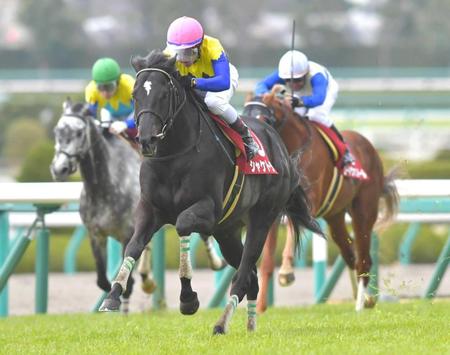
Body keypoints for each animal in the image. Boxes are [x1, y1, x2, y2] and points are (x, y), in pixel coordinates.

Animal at [100, 49, 322, 334]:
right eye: (135, 95)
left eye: (164, 94)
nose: (146, 140)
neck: (174, 155)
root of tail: (279, 146)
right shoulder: (150, 209)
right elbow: (134, 246)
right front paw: (112, 295)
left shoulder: (207, 210)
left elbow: (183, 225)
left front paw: (188, 299)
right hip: (227, 232)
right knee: (250, 277)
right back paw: (250, 326)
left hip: (261, 220)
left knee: (244, 273)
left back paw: (221, 323)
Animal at [244, 87, 400, 312]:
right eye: (243, 114)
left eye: (264, 117)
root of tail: (369, 146)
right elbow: (266, 262)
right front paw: (261, 307)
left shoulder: (308, 203)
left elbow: (291, 231)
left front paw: (286, 272)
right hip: (335, 217)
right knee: (350, 255)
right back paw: (366, 298)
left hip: (364, 211)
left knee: (363, 258)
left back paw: (361, 304)